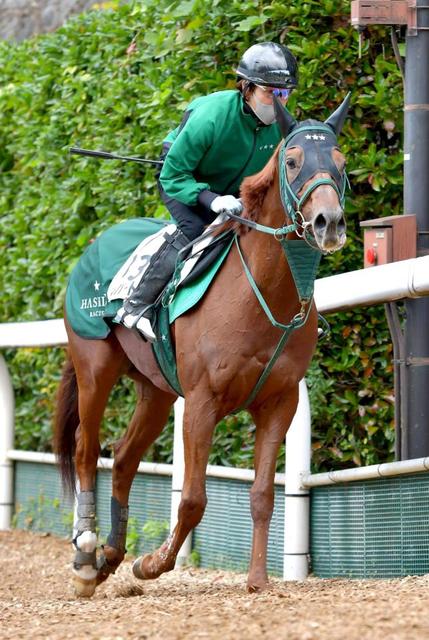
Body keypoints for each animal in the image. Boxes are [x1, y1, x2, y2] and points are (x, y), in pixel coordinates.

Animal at [54, 94, 350, 597]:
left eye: (341, 161)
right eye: (292, 161)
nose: (328, 222)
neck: (261, 293)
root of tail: (94, 244)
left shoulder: (280, 402)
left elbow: (263, 494)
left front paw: (257, 579)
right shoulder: (201, 401)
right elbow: (192, 498)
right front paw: (152, 564)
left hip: (156, 390)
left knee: (125, 456)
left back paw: (111, 554)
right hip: (95, 367)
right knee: (85, 450)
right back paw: (86, 556)